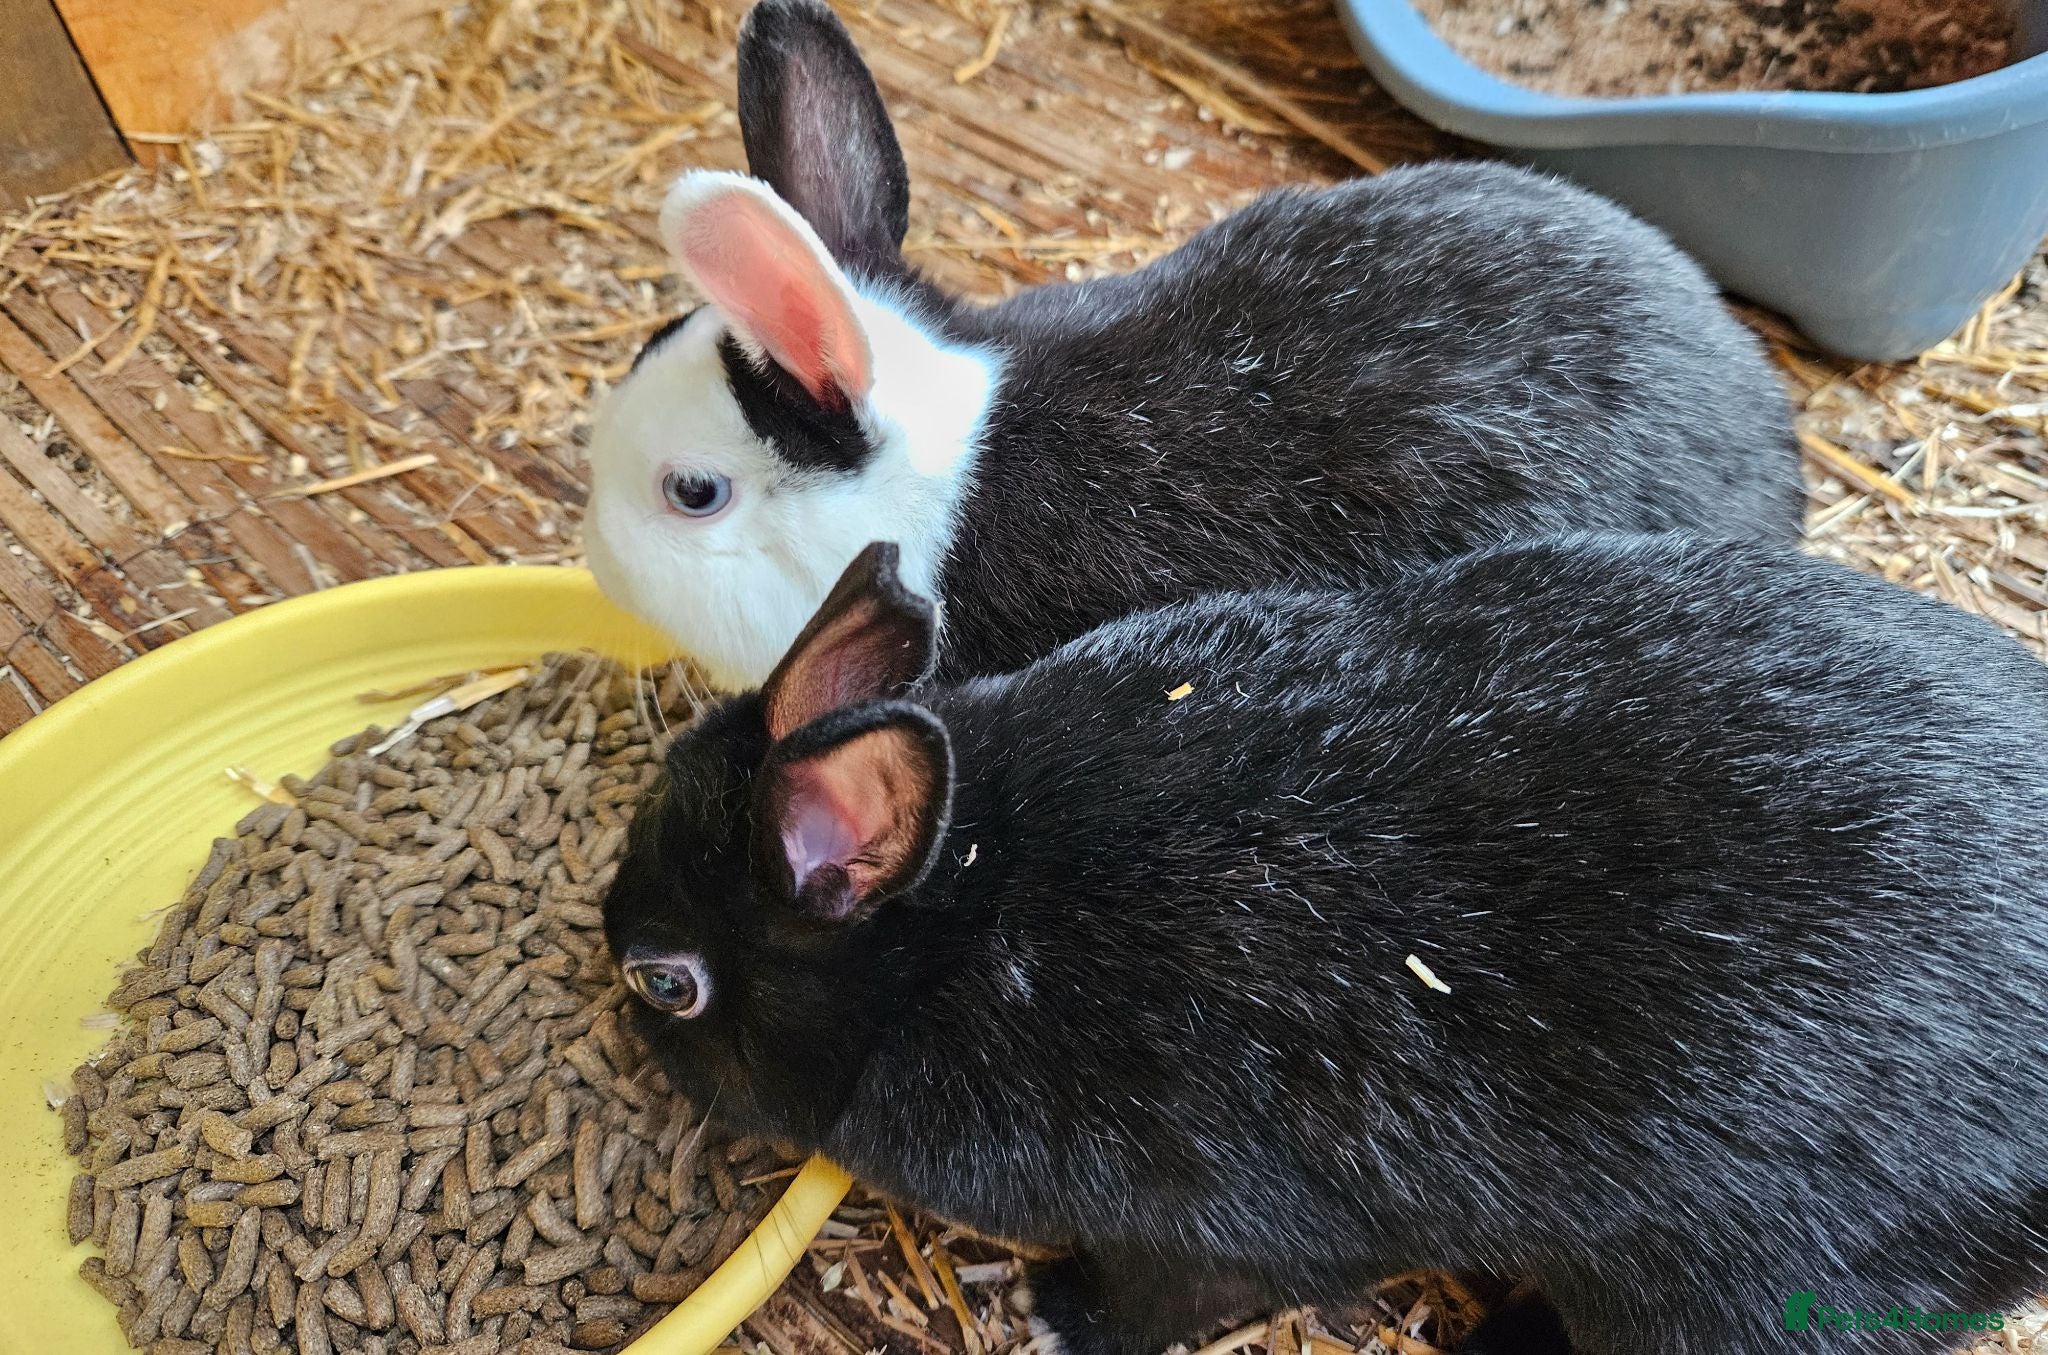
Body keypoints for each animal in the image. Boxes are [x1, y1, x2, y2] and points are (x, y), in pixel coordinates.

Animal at [604, 537, 2048, 1355]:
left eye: (666, 982)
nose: (615, 1008)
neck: (963, 913)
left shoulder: (1215, 1220)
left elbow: (1178, 1294)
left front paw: (1064, 1317)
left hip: (1737, 1284)